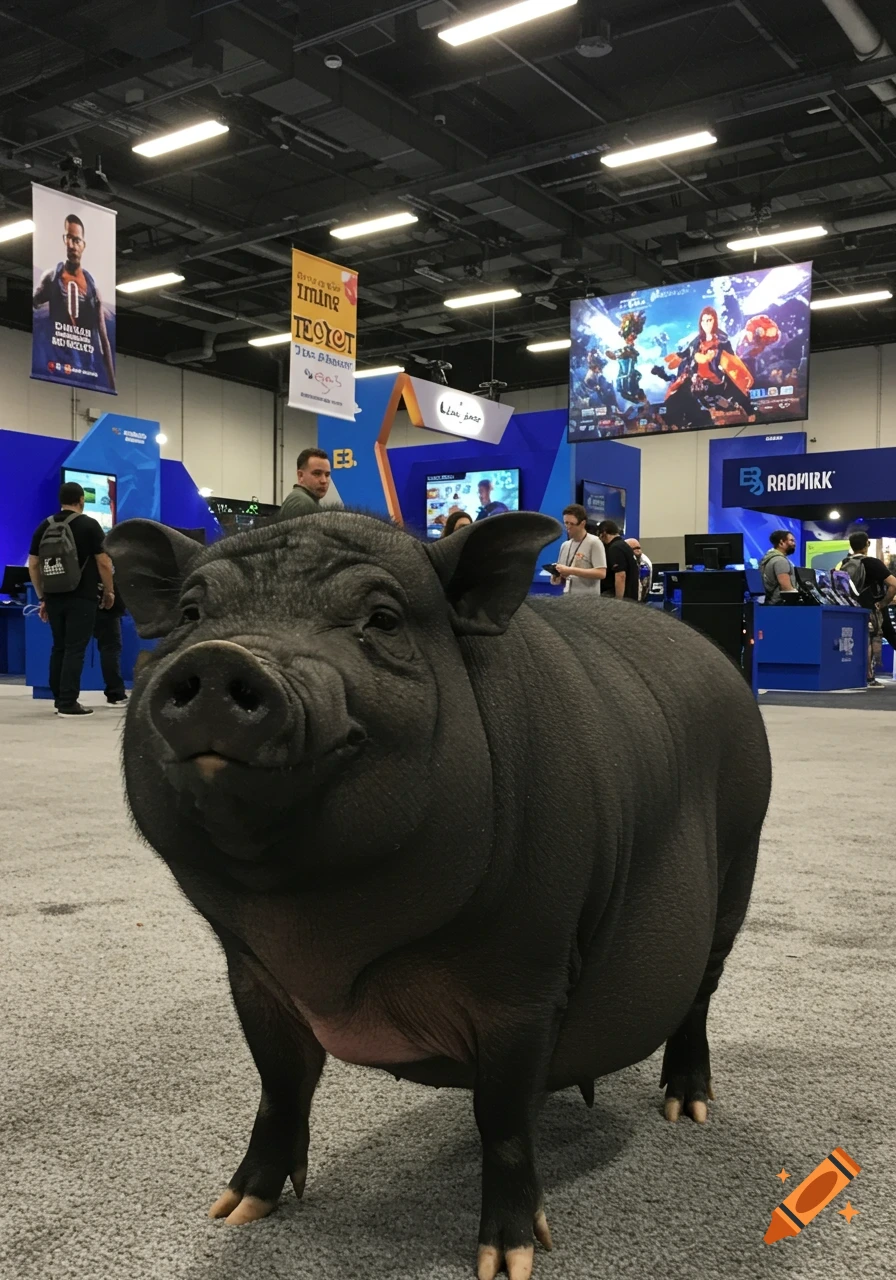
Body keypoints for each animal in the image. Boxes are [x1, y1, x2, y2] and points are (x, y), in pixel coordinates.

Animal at [105, 510, 771, 1280]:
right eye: (191, 614)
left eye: (383, 618)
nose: (221, 658)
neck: (322, 943)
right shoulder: (250, 971)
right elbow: (279, 1083)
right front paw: (235, 1209)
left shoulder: (530, 976)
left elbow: (502, 1119)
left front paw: (509, 1260)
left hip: (739, 867)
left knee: (698, 999)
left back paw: (687, 1109)